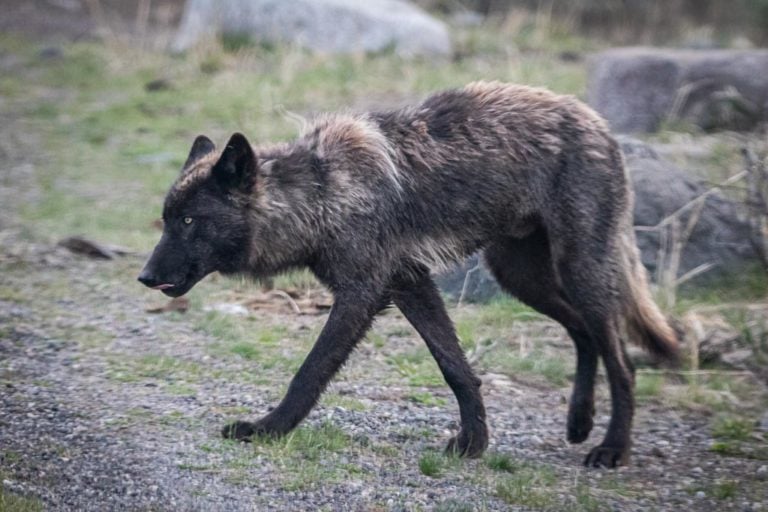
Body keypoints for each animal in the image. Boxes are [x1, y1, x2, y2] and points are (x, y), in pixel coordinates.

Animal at [138, 81, 680, 468]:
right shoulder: (410, 284)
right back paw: (578, 422)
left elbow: (309, 372)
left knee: (621, 359)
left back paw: (611, 449)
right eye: (167, 219)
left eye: (189, 222)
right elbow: (455, 368)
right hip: (521, 278)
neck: (322, 194)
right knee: (585, 334)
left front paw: (268, 429)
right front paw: (474, 443)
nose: (144, 277)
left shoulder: (362, 295)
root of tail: (597, 121)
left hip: (578, 271)